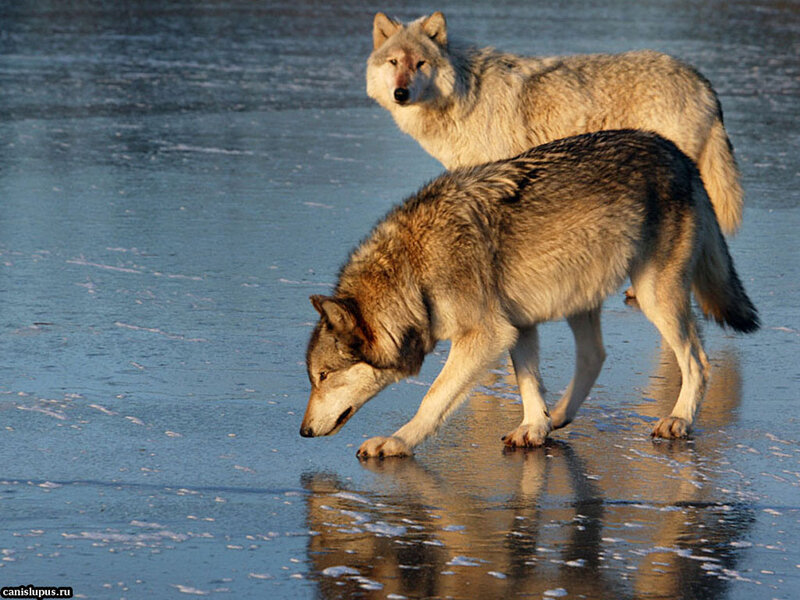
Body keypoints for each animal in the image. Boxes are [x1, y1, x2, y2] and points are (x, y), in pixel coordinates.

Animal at [299, 130, 758, 458]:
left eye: (323, 377)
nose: (302, 431)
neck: (414, 267)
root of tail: (678, 153)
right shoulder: (516, 326)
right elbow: (528, 383)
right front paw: (535, 427)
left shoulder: (486, 335)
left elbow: (432, 398)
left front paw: (397, 443)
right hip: (578, 295)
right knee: (595, 356)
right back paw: (560, 416)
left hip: (653, 296)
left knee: (697, 361)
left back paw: (679, 420)